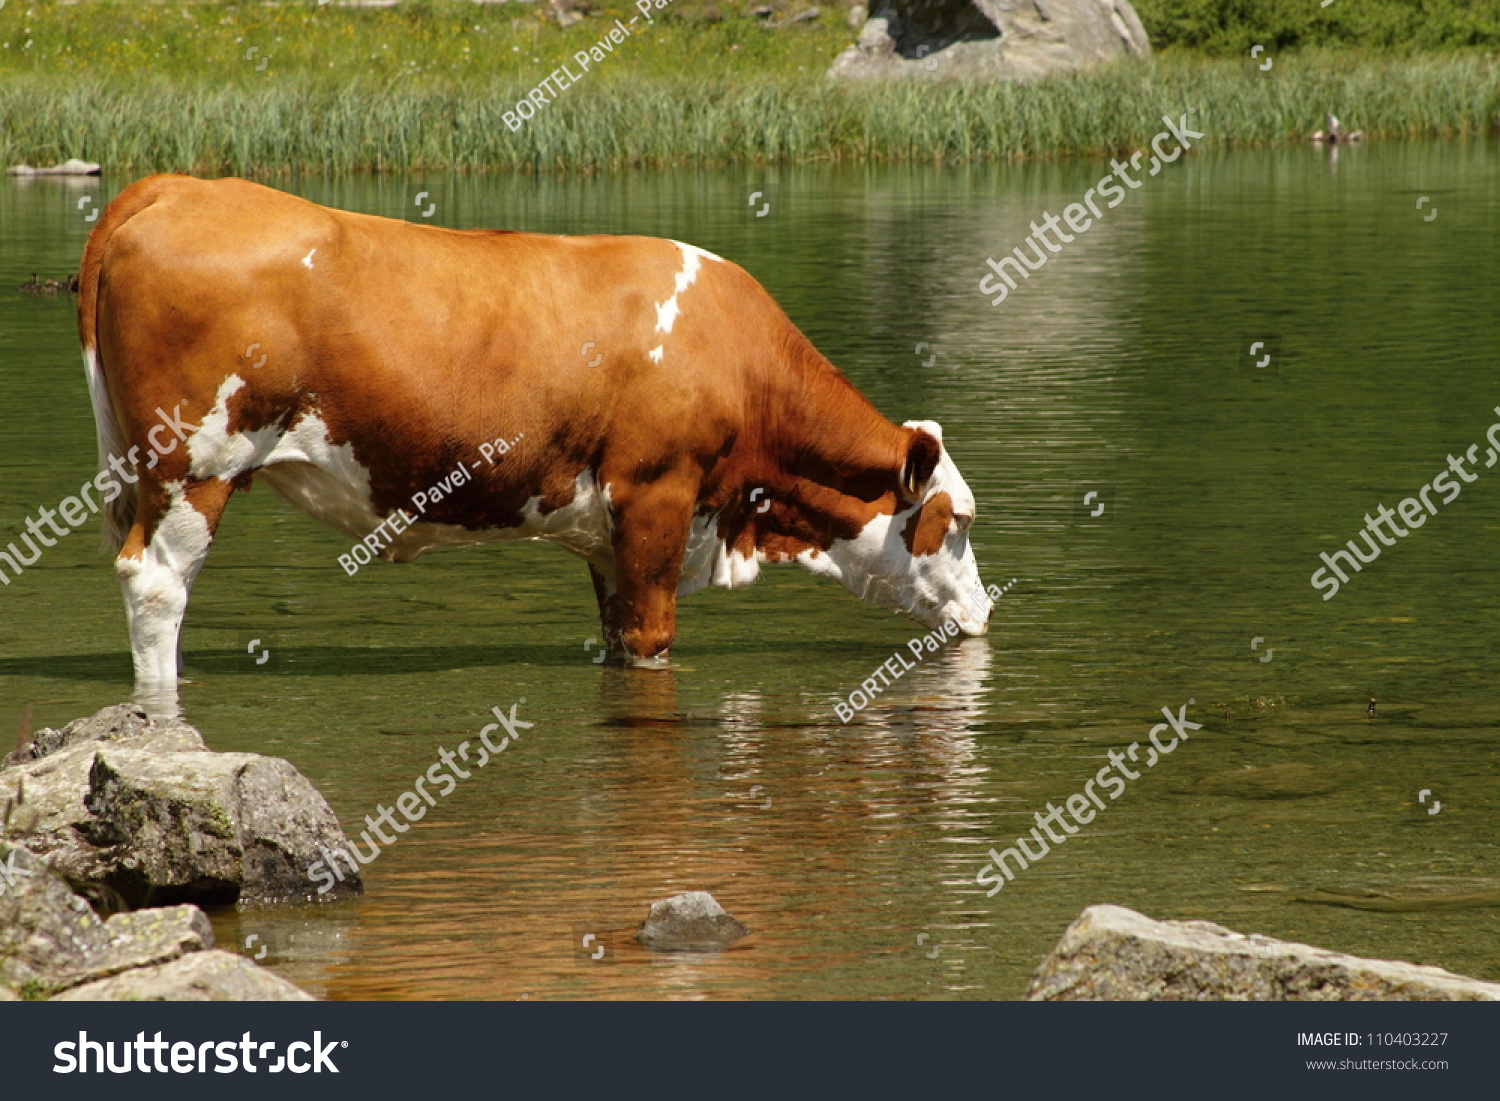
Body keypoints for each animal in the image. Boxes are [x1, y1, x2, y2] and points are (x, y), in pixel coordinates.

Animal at [82, 173, 996, 693]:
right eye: (956, 520)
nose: (986, 611)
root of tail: (176, 184)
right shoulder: (657, 496)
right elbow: (655, 638)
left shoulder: (607, 537)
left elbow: (621, 640)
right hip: (195, 462)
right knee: (156, 584)